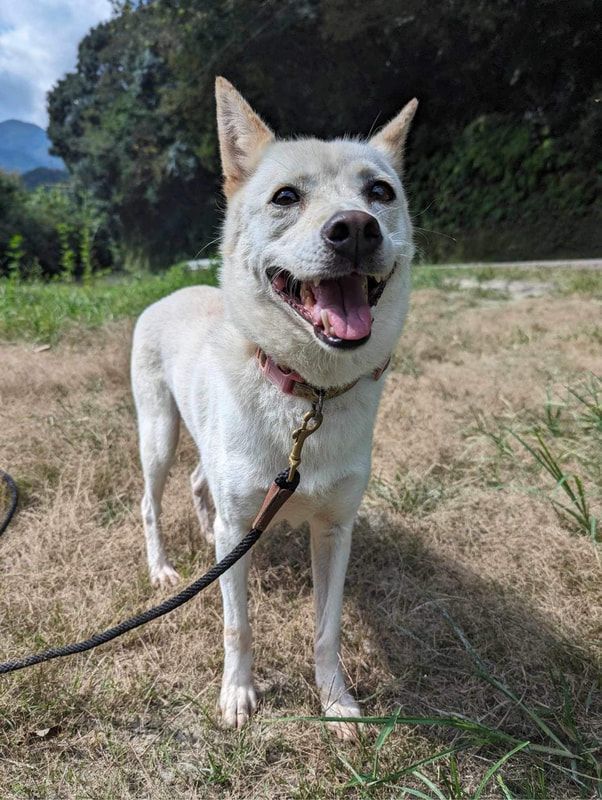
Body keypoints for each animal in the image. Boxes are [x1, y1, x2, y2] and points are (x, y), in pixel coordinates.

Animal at [129, 78, 414, 740]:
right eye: (285, 197)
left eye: (380, 192)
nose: (356, 228)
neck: (307, 396)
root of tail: (172, 292)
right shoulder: (241, 522)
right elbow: (238, 625)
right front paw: (237, 695)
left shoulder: (334, 528)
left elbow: (327, 631)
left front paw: (337, 704)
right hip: (158, 432)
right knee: (153, 501)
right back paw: (164, 569)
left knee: (200, 482)